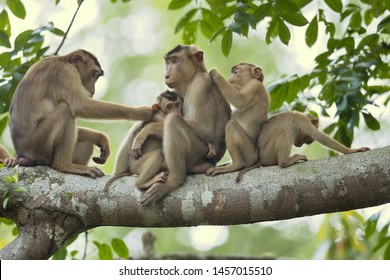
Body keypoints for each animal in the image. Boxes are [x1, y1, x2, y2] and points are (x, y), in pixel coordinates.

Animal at [9, 49, 153, 178]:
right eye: (93, 73)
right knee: (66, 110)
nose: (92, 90)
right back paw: (64, 165)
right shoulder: (65, 72)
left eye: (96, 76)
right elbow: (79, 105)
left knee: (86, 143)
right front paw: (141, 112)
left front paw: (101, 138)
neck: (63, 59)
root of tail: (21, 152)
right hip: (37, 143)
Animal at [236, 110, 370, 183]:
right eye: (307, 139)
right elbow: (320, 136)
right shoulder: (303, 122)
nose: (303, 143)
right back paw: (285, 161)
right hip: (268, 154)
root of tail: (260, 159)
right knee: (283, 132)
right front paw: (351, 151)